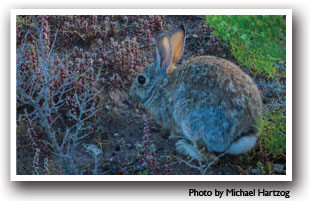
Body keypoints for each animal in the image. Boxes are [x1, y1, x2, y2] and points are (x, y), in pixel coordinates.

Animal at [128, 25, 262, 157]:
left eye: (141, 79)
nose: (130, 95)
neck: (161, 84)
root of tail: (245, 134)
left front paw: (172, 136)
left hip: (193, 121)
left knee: (208, 155)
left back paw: (184, 147)